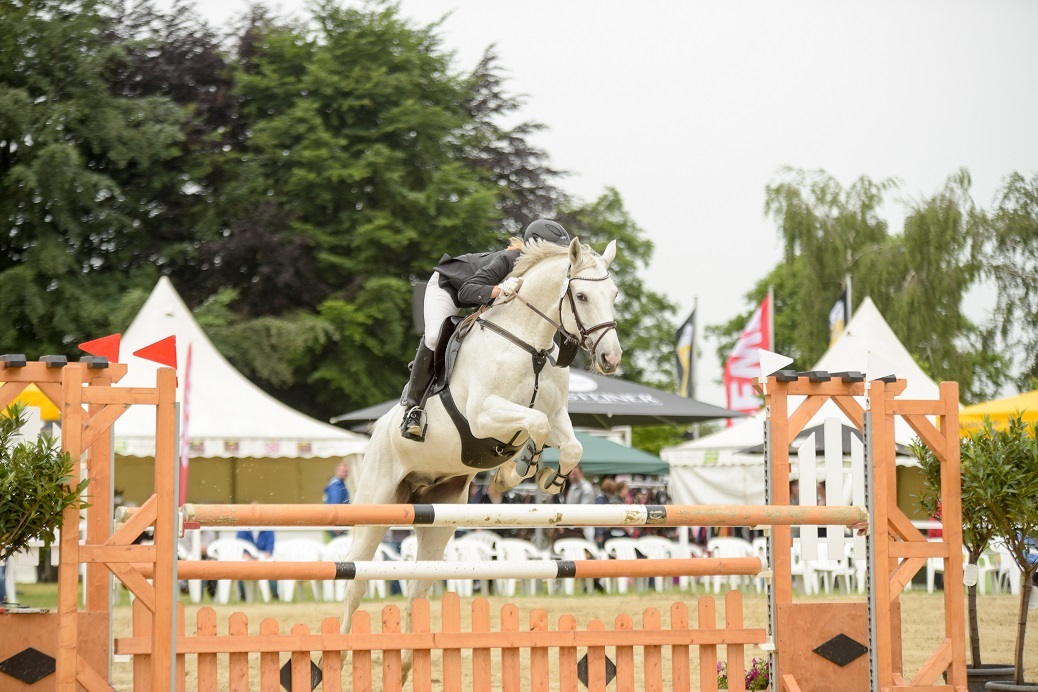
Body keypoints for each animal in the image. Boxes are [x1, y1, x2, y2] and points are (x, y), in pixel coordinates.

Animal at [339, 237, 623, 678]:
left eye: (614, 295)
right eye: (581, 296)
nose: (611, 358)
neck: (529, 343)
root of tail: (375, 433)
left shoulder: (558, 414)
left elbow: (567, 442)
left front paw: (541, 476)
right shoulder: (483, 415)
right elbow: (536, 423)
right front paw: (516, 469)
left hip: (438, 515)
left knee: (417, 587)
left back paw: (406, 664)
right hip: (377, 503)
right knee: (355, 577)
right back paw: (334, 654)